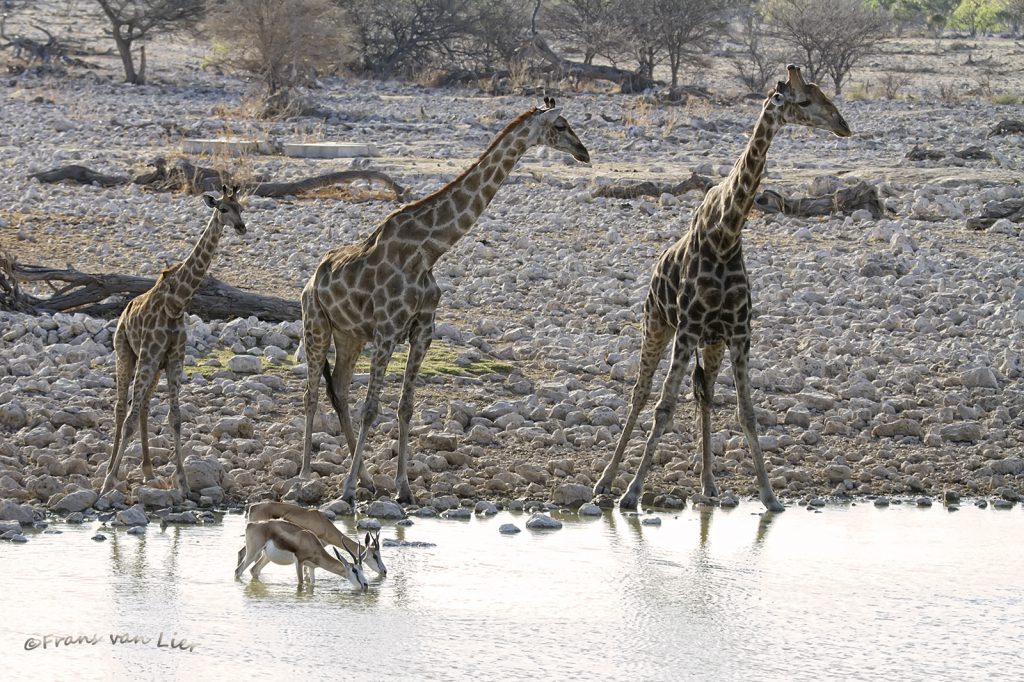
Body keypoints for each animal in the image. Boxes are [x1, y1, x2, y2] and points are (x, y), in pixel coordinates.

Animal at [100, 185, 247, 496]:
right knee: (121, 408)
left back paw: (147, 471)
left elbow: (175, 419)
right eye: (223, 209)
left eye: (241, 207)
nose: (242, 227)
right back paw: (108, 471)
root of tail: (123, 312)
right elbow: (130, 419)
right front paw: (109, 482)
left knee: (142, 407)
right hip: (126, 353)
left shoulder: (173, 359)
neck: (176, 303)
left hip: (154, 366)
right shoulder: (148, 356)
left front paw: (183, 483)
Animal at [300, 99, 590, 505]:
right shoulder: (388, 330)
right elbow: (372, 408)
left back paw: (369, 478)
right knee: (312, 393)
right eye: (561, 126)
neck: (428, 250)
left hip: (350, 335)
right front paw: (347, 489)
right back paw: (305, 476)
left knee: (338, 390)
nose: (584, 152)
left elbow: (405, 407)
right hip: (315, 325)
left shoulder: (423, 330)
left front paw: (403, 488)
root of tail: (311, 281)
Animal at [593, 65, 851, 512]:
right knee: (641, 394)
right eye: (804, 101)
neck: (726, 234)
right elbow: (663, 407)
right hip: (657, 324)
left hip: (710, 344)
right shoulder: (687, 328)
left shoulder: (738, 332)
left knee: (706, 395)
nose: (843, 125)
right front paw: (633, 491)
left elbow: (747, 412)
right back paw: (606, 480)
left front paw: (769, 496)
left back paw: (709, 485)